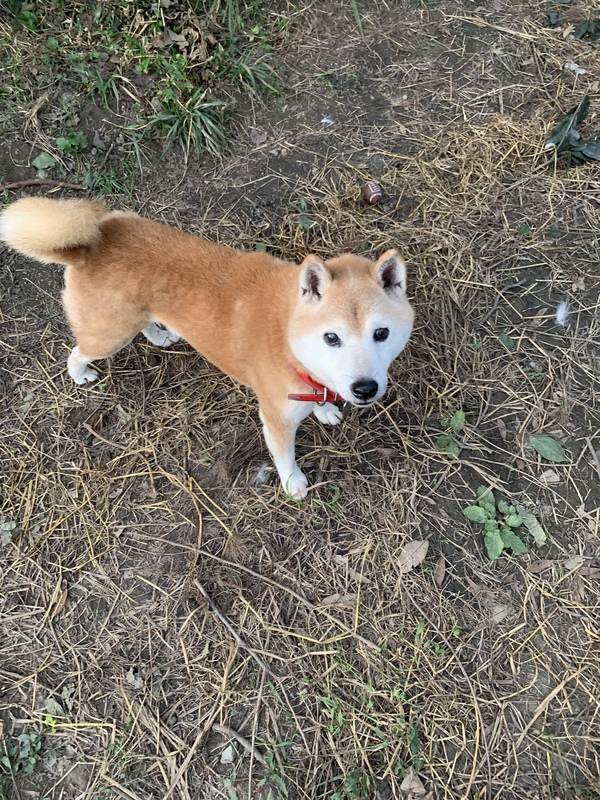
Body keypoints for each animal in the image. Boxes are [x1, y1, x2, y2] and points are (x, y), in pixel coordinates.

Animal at [0, 197, 414, 498]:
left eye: (381, 333)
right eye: (332, 338)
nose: (365, 389)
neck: (287, 336)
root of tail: (90, 246)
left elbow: (322, 397)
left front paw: (325, 409)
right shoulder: (276, 419)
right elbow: (284, 456)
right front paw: (292, 482)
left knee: (145, 325)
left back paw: (160, 336)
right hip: (108, 335)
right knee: (78, 351)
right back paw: (80, 374)